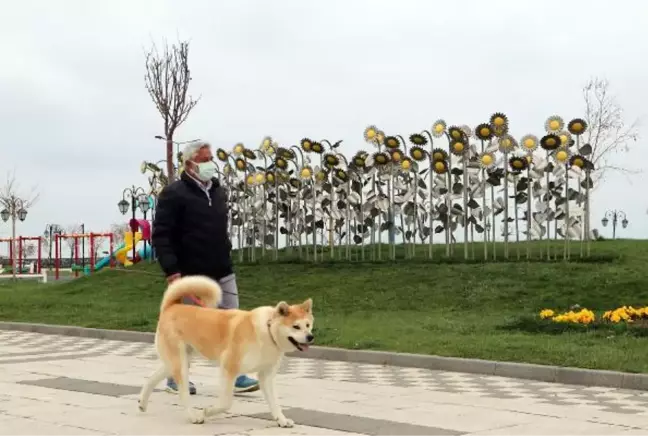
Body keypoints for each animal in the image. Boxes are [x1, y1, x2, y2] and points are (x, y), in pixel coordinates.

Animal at [138, 276, 316, 426]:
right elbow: (226, 403)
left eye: (308, 325)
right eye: (296, 326)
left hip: (176, 361)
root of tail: (172, 306)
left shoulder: (266, 376)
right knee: (183, 394)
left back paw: (142, 403)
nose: (310, 337)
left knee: (151, 378)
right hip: (180, 364)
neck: (267, 330)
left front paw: (282, 420)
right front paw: (207, 412)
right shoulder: (228, 367)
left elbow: (274, 403)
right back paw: (193, 416)